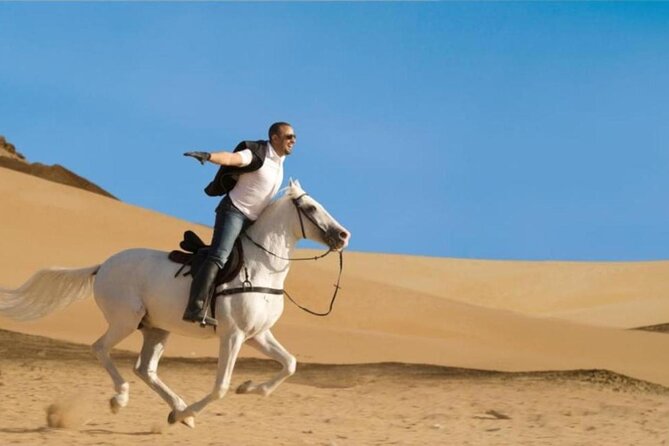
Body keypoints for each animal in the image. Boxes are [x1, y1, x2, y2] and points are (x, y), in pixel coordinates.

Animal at [0, 179, 350, 427]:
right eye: (312, 208)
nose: (343, 236)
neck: (259, 267)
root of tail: (103, 266)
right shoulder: (233, 335)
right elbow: (220, 386)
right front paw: (206, 403)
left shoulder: (257, 335)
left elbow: (289, 363)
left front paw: (250, 388)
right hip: (125, 321)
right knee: (100, 349)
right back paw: (124, 400)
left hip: (156, 330)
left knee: (146, 369)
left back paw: (179, 409)